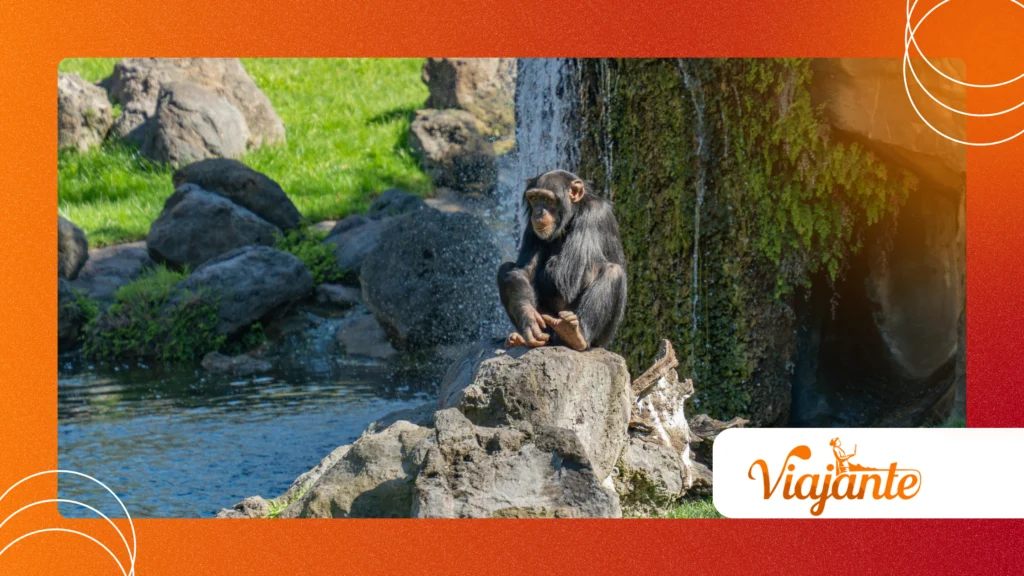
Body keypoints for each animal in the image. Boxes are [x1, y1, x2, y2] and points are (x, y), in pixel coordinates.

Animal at [497, 170, 627, 351]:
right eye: (534, 198)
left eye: (546, 199)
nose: (538, 212)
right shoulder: (531, 226)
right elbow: (524, 271)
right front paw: (529, 318)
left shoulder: (594, 214)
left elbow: (564, 275)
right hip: (549, 330)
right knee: (506, 268)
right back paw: (521, 338)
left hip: (602, 339)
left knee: (613, 271)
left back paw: (575, 335)